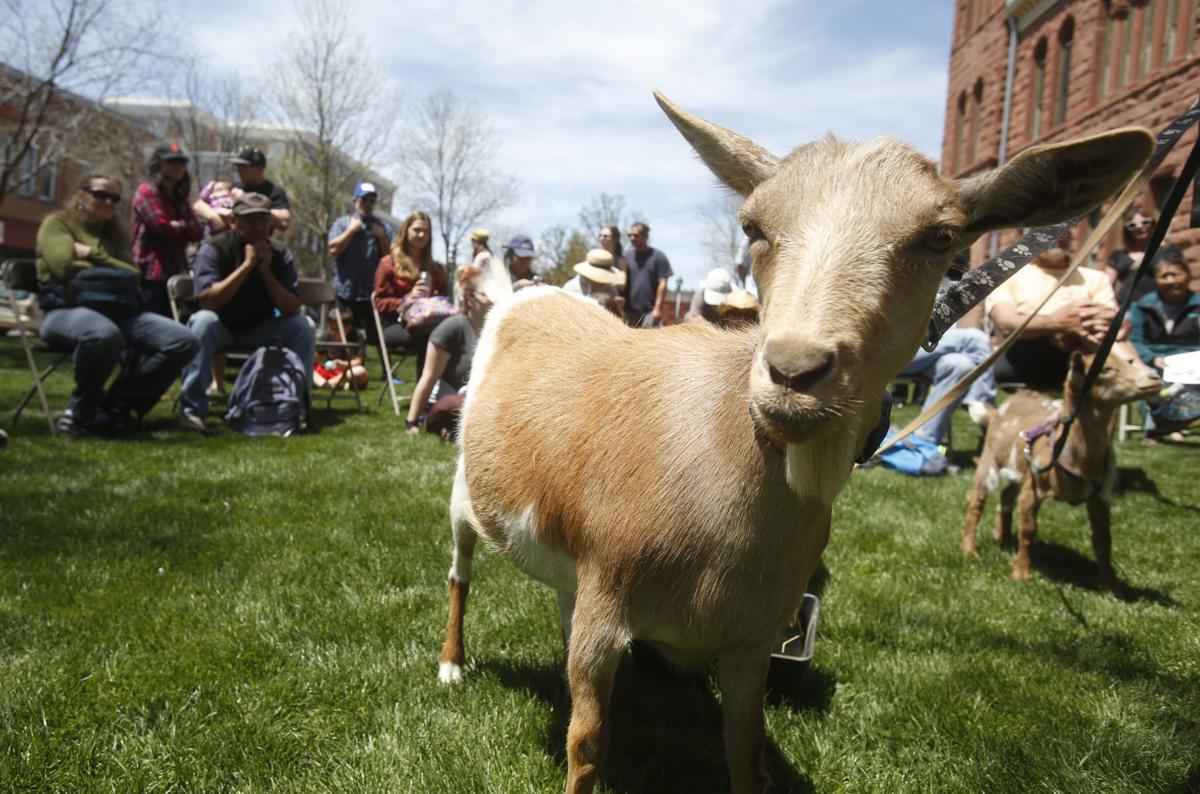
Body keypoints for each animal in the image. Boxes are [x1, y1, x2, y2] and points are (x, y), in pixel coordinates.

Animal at [962, 350, 1162, 595]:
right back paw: (970, 548)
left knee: (1006, 496)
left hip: (1020, 469)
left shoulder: (1100, 498)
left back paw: (1004, 539)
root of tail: (998, 411)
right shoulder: (1033, 488)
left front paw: (1110, 586)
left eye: (1129, 361)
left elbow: (1103, 541)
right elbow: (1028, 530)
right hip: (990, 461)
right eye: (1106, 369)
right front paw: (1020, 573)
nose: (1155, 379)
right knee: (976, 500)